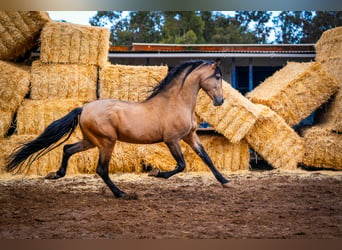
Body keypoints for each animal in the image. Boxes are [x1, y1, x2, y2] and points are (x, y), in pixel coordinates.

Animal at [6, 59, 230, 198]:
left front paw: (225, 181)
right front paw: (155, 173)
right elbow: (181, 165)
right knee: (101, 169)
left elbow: (206, 158)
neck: (177, 103)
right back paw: (121, 193)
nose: (220, 101)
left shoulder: (190, 136)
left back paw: (56, 174)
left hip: (91, 141)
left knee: (67, 149)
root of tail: (83, 108)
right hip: (106, 142)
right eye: (218, 77)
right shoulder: (172, 140)